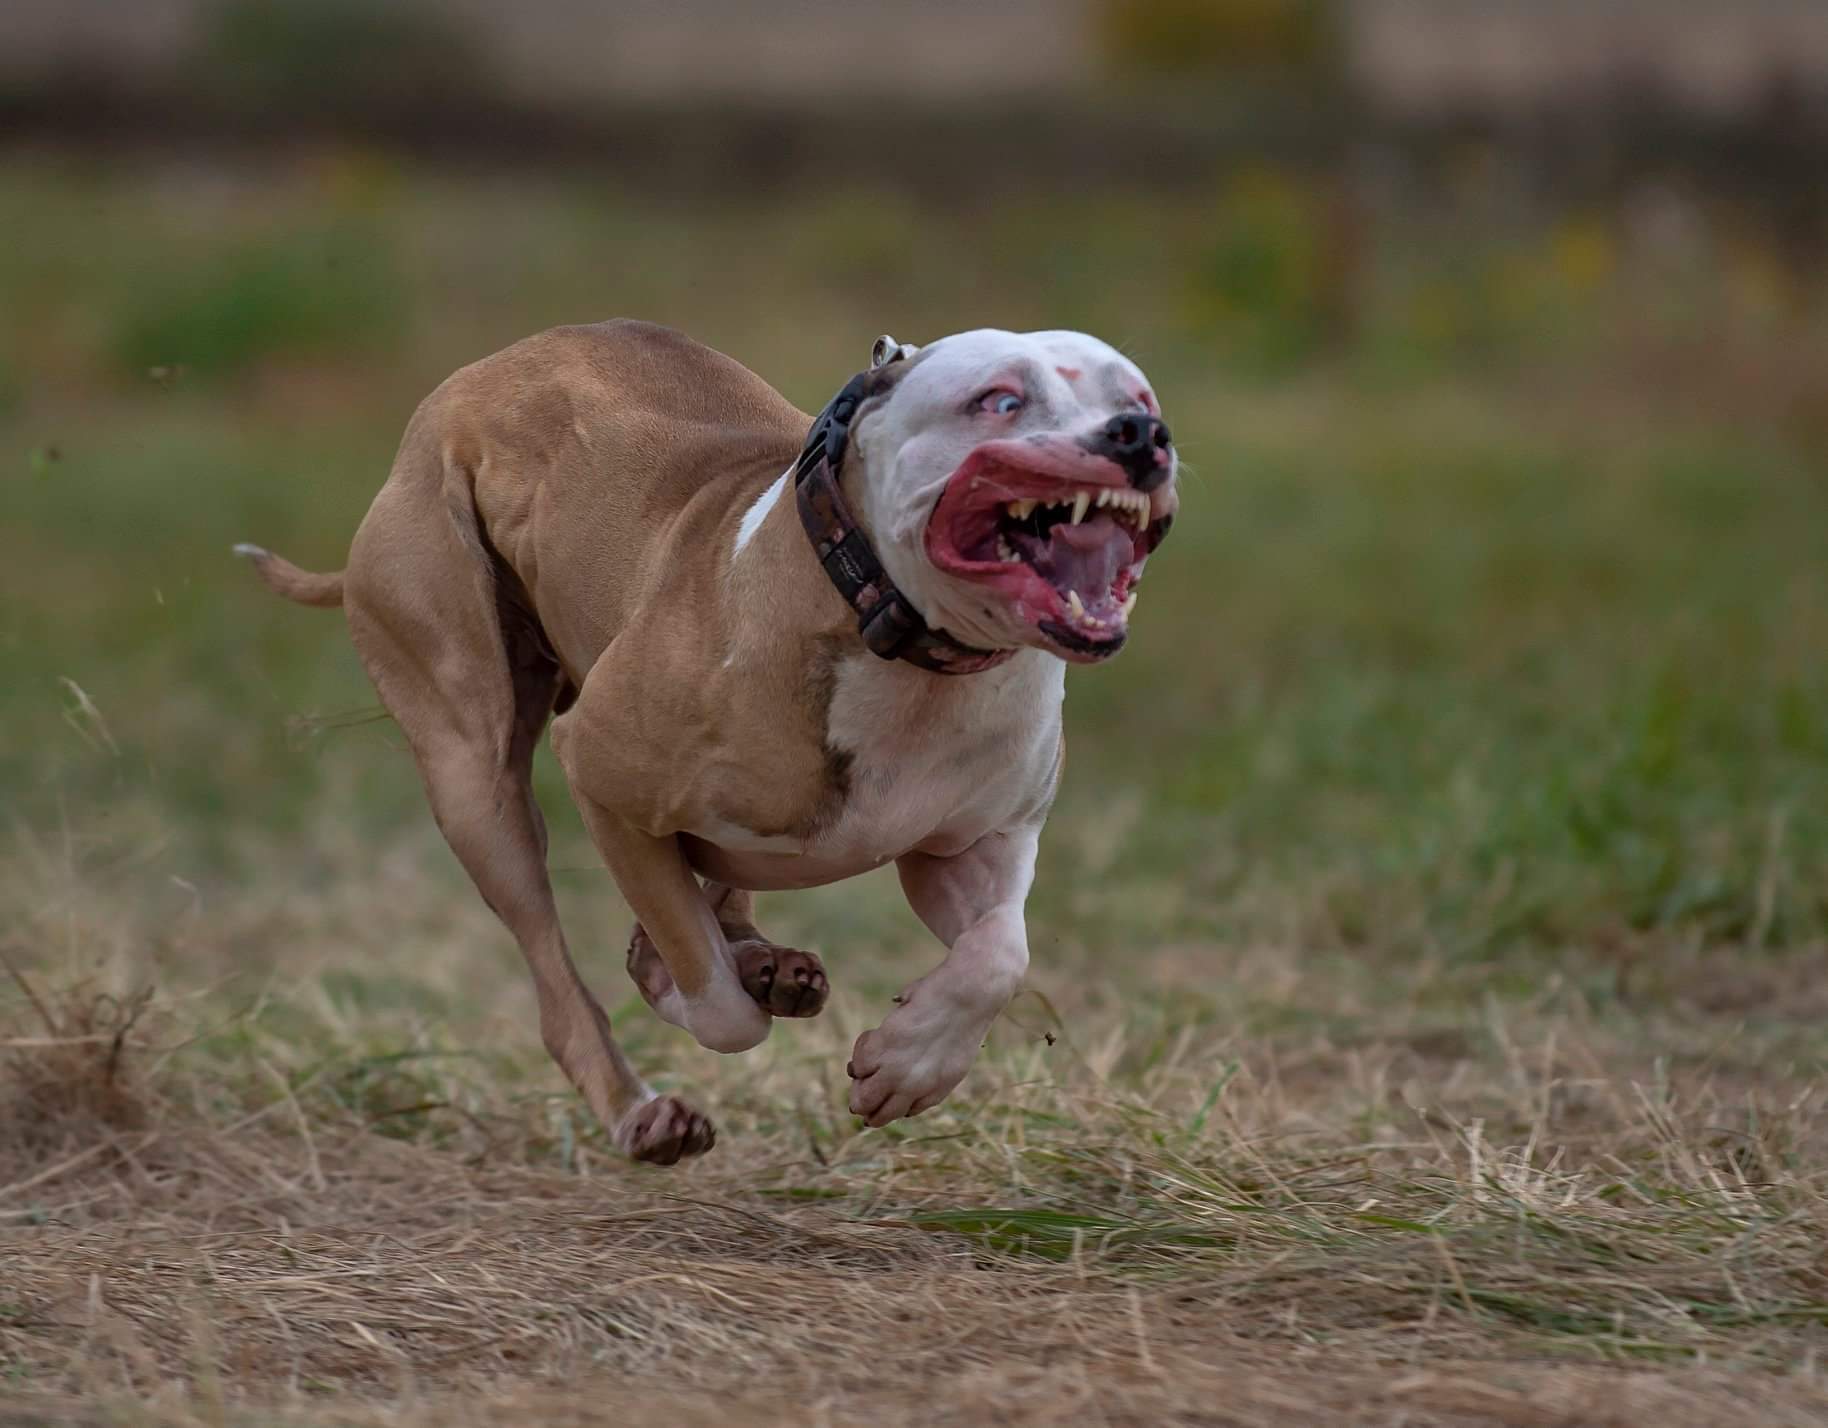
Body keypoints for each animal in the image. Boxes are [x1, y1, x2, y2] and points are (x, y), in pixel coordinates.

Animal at [243, 319, 1177, 1155]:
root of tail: (475, 379)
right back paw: (643, 1108)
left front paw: (911, 1064)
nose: (1141, 435)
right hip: (473, 772)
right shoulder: (602, 782)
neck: (901, 641)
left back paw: (767, 962)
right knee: (560, 979)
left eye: (1135, 397)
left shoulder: (976, 844)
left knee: (719, 886)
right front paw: (668, 976)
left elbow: (998, 955)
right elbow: (718, 1006)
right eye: (1000, 400)